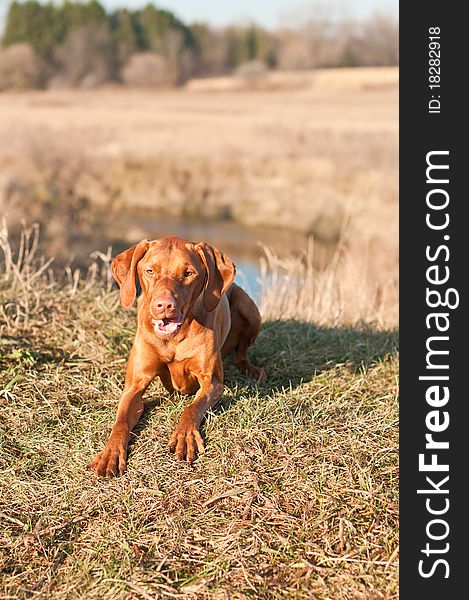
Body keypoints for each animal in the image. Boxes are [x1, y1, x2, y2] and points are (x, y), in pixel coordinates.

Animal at [88, 237, 264, 476]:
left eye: (188, 273)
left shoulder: (213, 383)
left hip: (250, 308)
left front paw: (185, 436)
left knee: (242, 351)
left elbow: (191, 409)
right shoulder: (134, 387)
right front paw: (110, 452)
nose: (164, 305)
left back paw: (252, 369)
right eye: (150, 270)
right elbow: (121, 421)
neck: (173, 338)